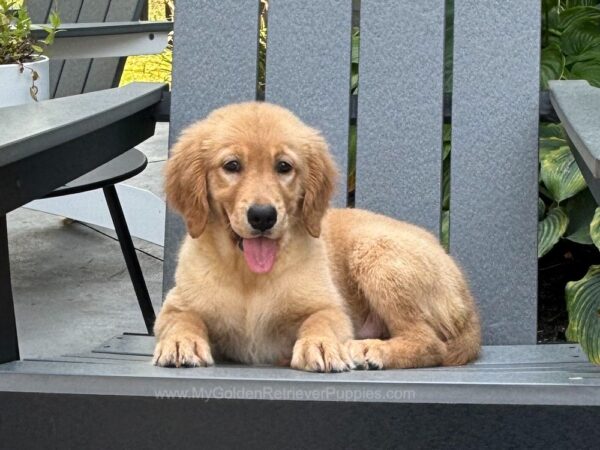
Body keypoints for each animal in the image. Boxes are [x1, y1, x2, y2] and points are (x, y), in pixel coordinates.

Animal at [155, 102, 482, 372]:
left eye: (284, 166)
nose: (262, 216)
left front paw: (321, 345)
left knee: (430, 342)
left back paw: (370, 349)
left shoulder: (331, 307)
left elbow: (319, 320)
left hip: (375, 252)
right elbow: (183, 318)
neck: (249, 277)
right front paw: (180, 342)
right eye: (232, 165)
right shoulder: (175, 304)